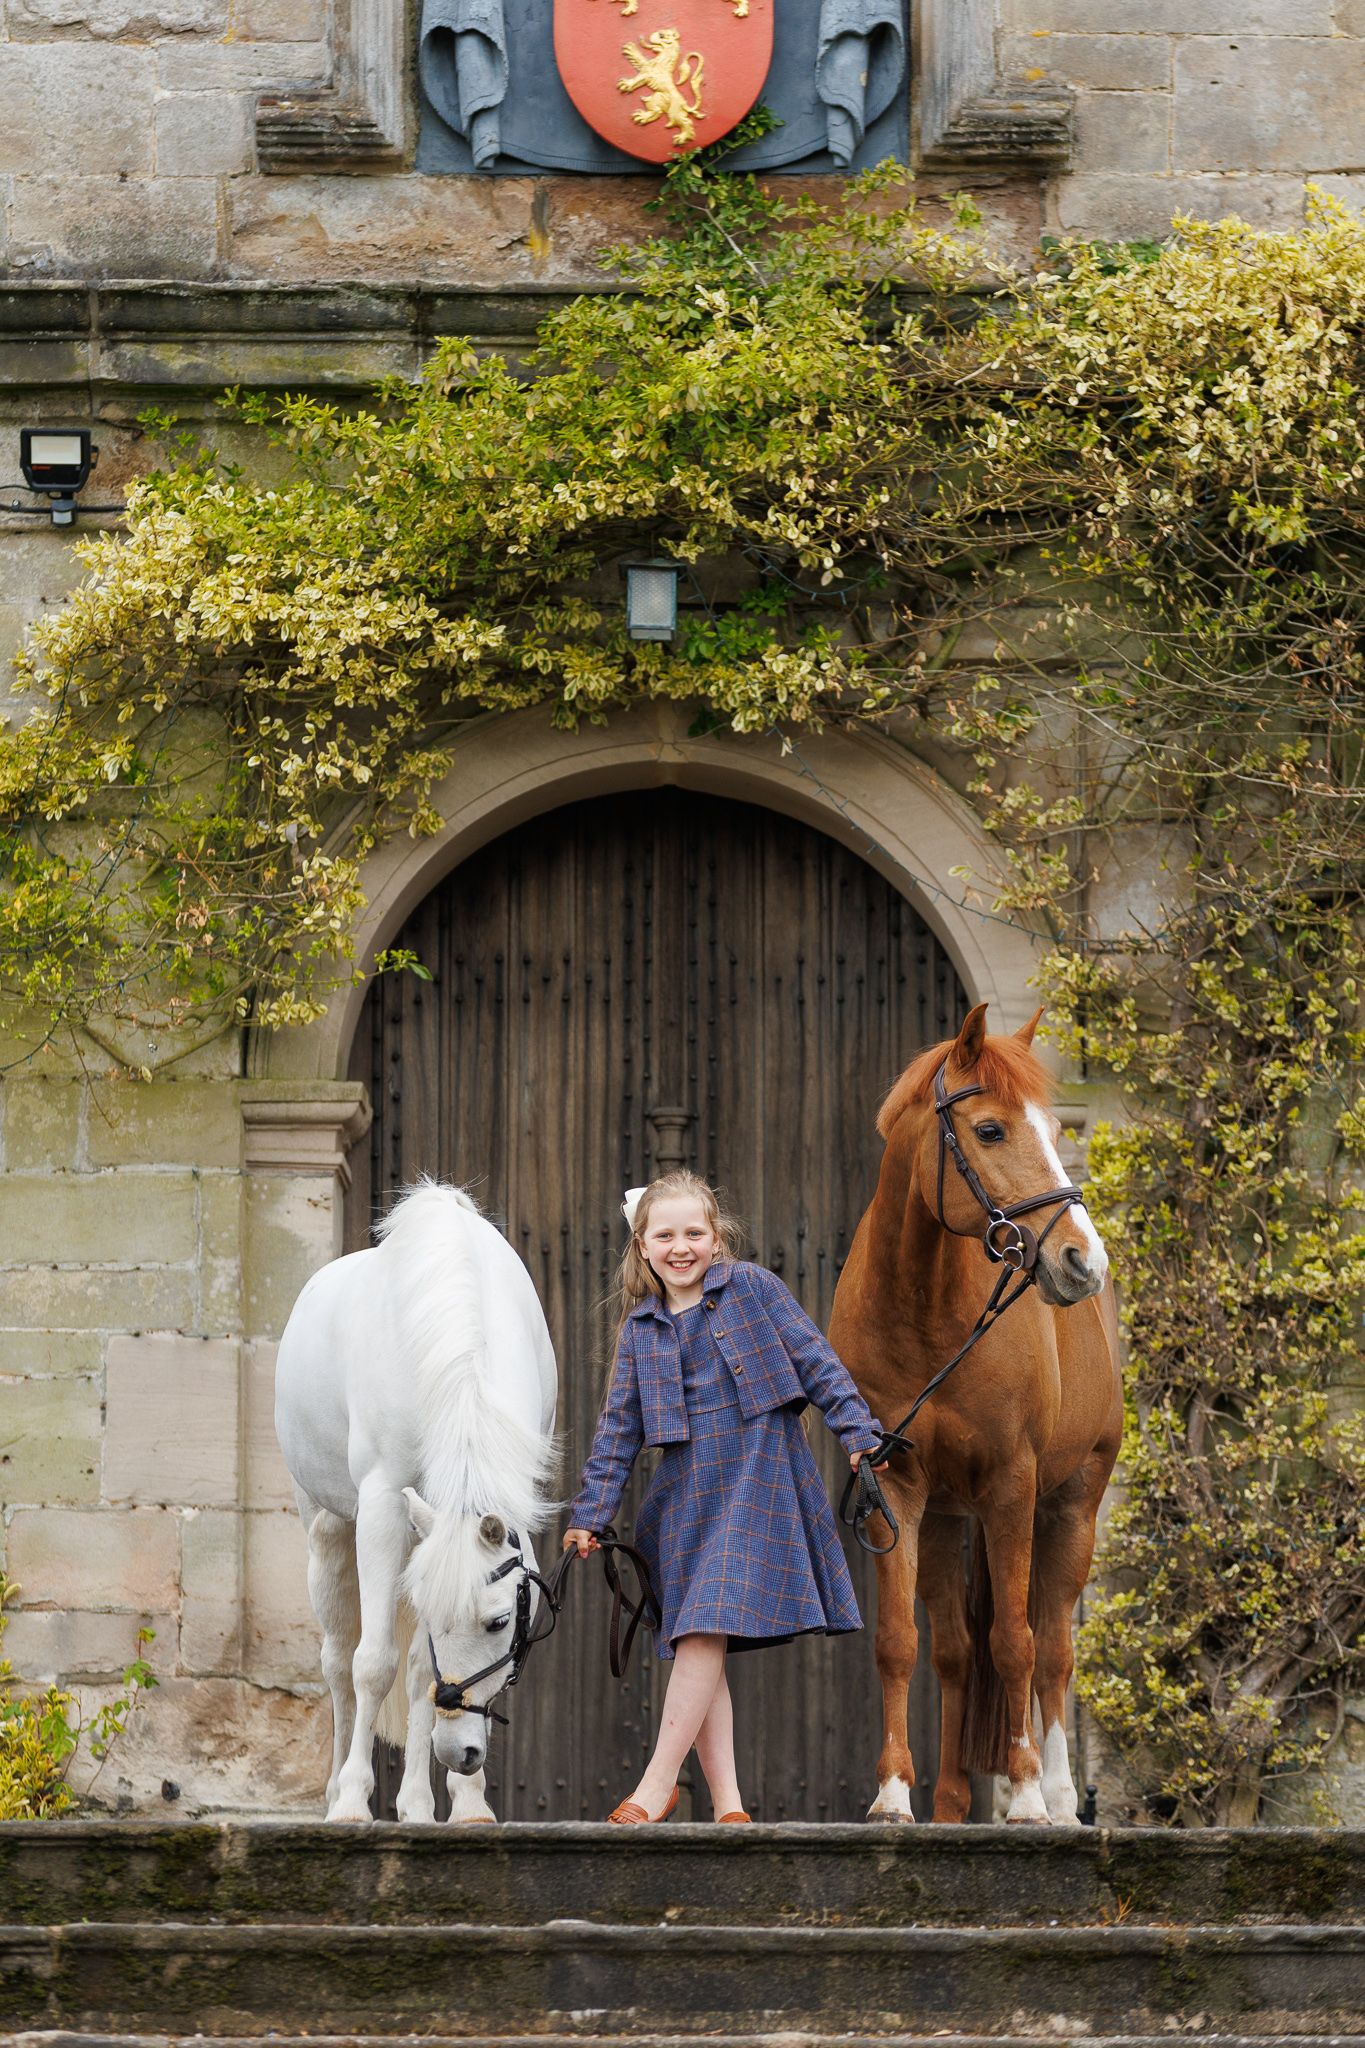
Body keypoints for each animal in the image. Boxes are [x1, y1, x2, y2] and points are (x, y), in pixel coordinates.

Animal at [275, 1182, 558, 1823]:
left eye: (500, 1621)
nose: (460, 1753)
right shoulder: (382, 1507)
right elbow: (373, 1663)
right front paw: (354, 1802)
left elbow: (420, 1669)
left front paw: (458, 1806)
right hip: (327, 1529)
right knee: (339, 1661)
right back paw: (335, 1792)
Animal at [829, 1002, 1121, 1826]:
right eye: (989, 1130)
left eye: (1055, 1130)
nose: (1082, 1261)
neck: (925, 1312)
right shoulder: (893, 1490)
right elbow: (901, 1642)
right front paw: (893, 1793)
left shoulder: (1011, 1488)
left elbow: (1017, 1643)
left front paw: (1022, 1795)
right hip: (944, 1518)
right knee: (959, 1649)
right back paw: (955, 1802)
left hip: (1069, 1509)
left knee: (1051, 1648)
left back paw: (1058, 1798)